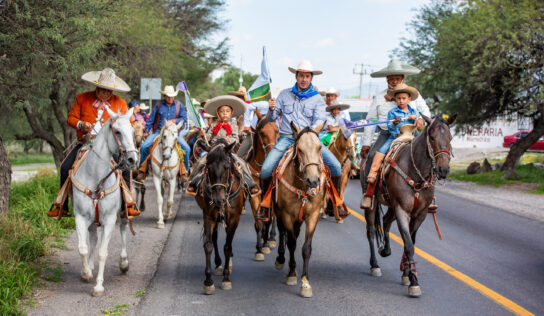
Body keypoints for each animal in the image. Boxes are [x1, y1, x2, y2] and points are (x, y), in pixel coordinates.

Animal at [71, 107, 138, 296]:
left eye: (132, 131)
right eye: (117, 131)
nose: (132, 160)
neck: (96, 180)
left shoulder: (109, 220)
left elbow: (103, 252)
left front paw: (98, 286)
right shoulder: (80, 217)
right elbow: (83, 248)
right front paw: (86, 273)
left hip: (123, 214)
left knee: (123, 229)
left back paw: (123, 263)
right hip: (92, 220)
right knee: (93, 237)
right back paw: (90, 266)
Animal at [192, 139, 241, 296]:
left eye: (227, 167)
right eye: (208, 167)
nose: (219, 199)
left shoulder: (234, 219)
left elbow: (227, 247)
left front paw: (226, 278)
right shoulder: (208, 216)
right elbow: (208, 245)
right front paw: (208, 281)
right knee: (214, 238)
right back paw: (219, 263)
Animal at [274, 122, 326, 298]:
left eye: (319, 147)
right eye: (300, 149)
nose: (313, 181)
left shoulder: (313, 215)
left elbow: (306, 248)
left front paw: (305, 282)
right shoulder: (286, 215)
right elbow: (291, 243)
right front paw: (291, 274)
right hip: (278, 213)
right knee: (282, 233)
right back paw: (281, 259)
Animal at [364, 115, 456, 298]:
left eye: (450, 138)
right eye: (432, 137)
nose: (443, 170)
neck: (417, 173)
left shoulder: (420, 214)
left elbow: (411, 242)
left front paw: (407, 274)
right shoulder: (402, 210)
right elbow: (408, 244)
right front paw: (414, 282)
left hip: (391, 206)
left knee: (386, 220)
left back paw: (385, 250)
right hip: (372, 202)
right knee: (370, 231)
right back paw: (375, 265)